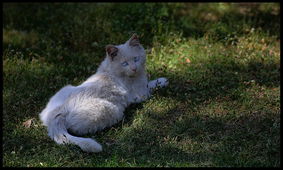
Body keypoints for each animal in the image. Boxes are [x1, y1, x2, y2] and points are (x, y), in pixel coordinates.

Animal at [39, 33, 169, 152]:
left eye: (136, 59)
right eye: (124, 63)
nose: (134, 68)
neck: (112, 72)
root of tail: (56, 113)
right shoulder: (140, 94)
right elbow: (151, 86)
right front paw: (163, 80)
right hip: (111, 110)